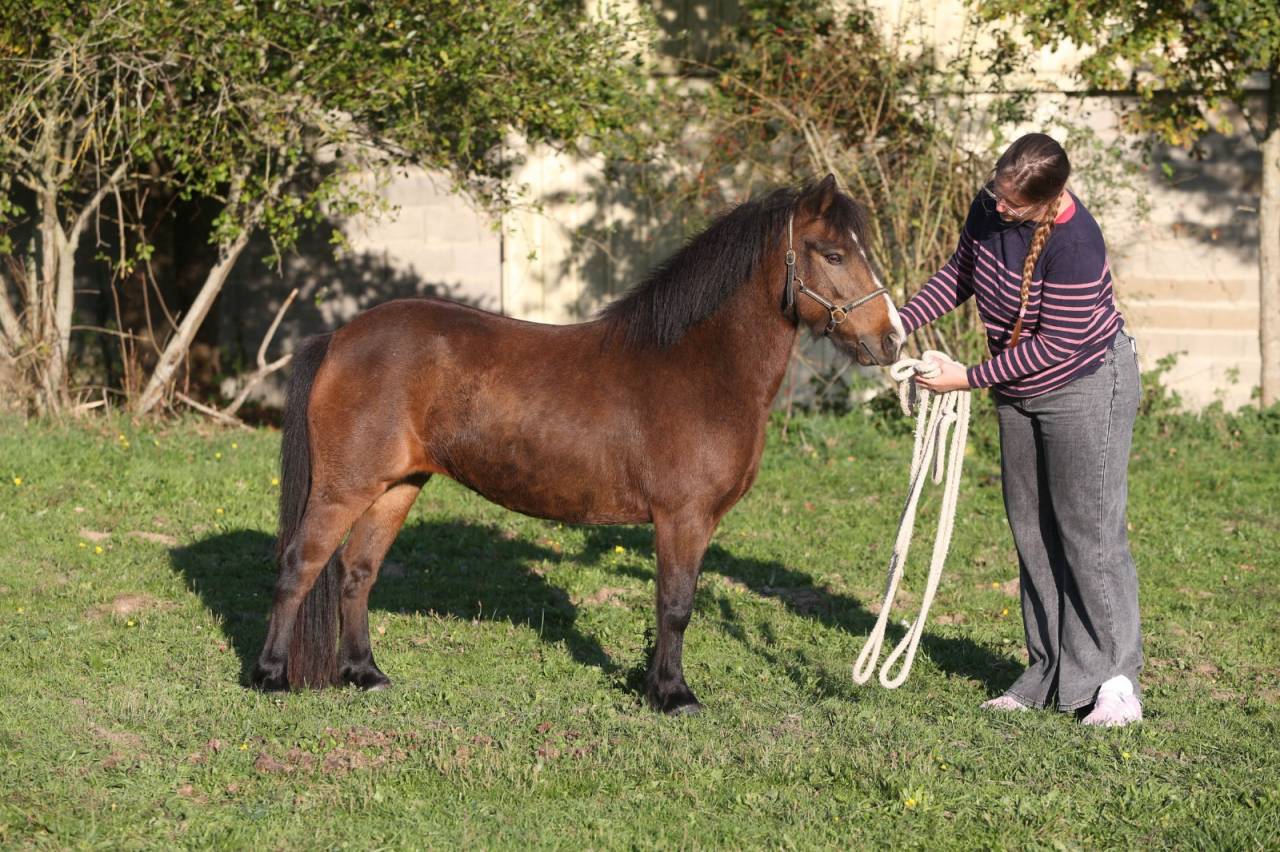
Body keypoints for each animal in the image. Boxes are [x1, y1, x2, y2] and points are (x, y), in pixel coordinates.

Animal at [250, 175, 905, 714]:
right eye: (834, 253)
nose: (891, 339)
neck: (701, 366)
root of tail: (339, 338)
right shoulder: (683, 518)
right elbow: (676, 606)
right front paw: (674, 695)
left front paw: (653, 685)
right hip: (343, 486)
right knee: (300, 565)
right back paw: (270, 677)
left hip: (396, 486)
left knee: (357, 573)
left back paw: (365, 674)